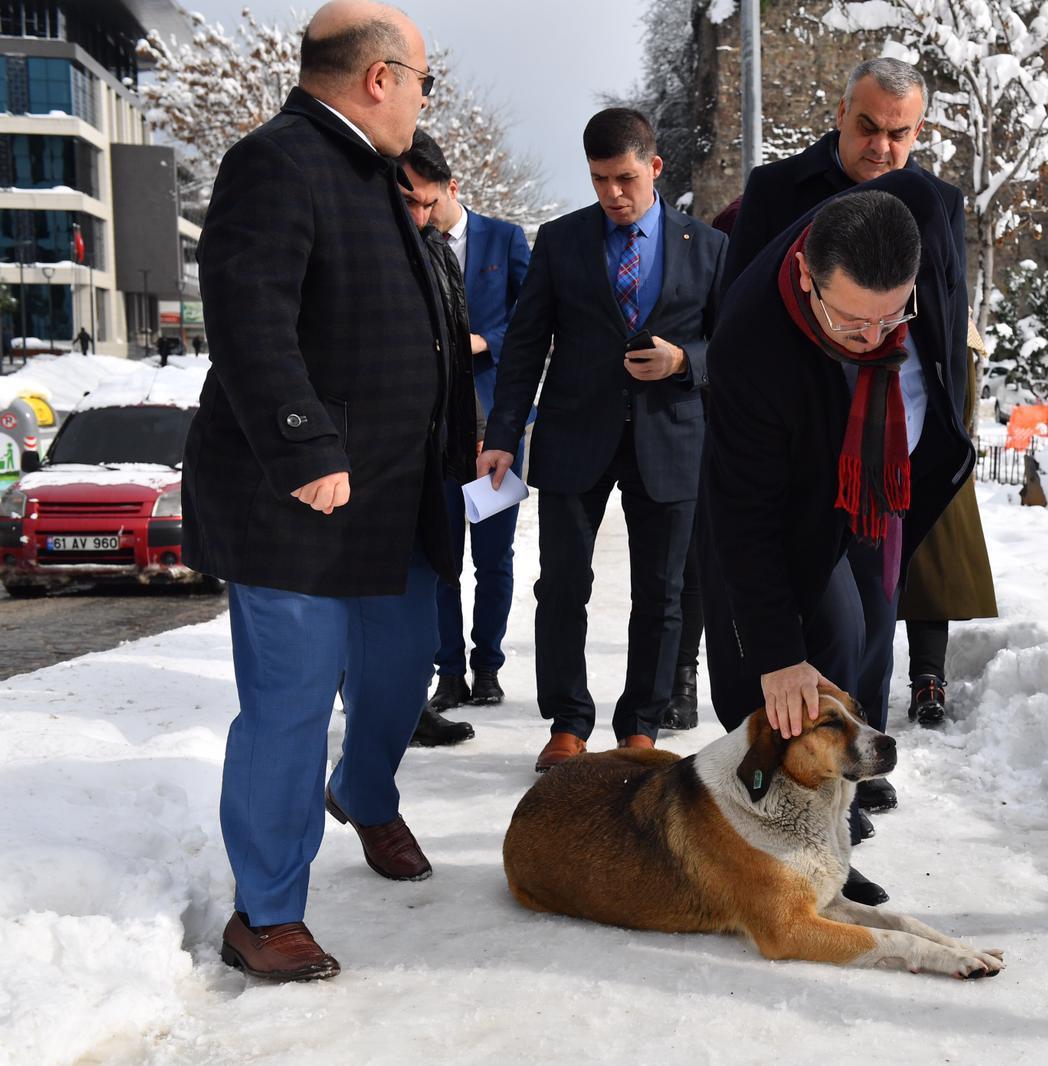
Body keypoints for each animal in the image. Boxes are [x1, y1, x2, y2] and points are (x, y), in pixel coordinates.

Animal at [505, 686, 1006, 976]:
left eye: (861, 711)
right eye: (828, 723)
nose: (890, 743)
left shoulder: (826, 900)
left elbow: (903, 920)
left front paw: (965, 948)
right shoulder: (790, 928)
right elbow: (891, 938)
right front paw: (958, 960)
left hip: (654, 758)